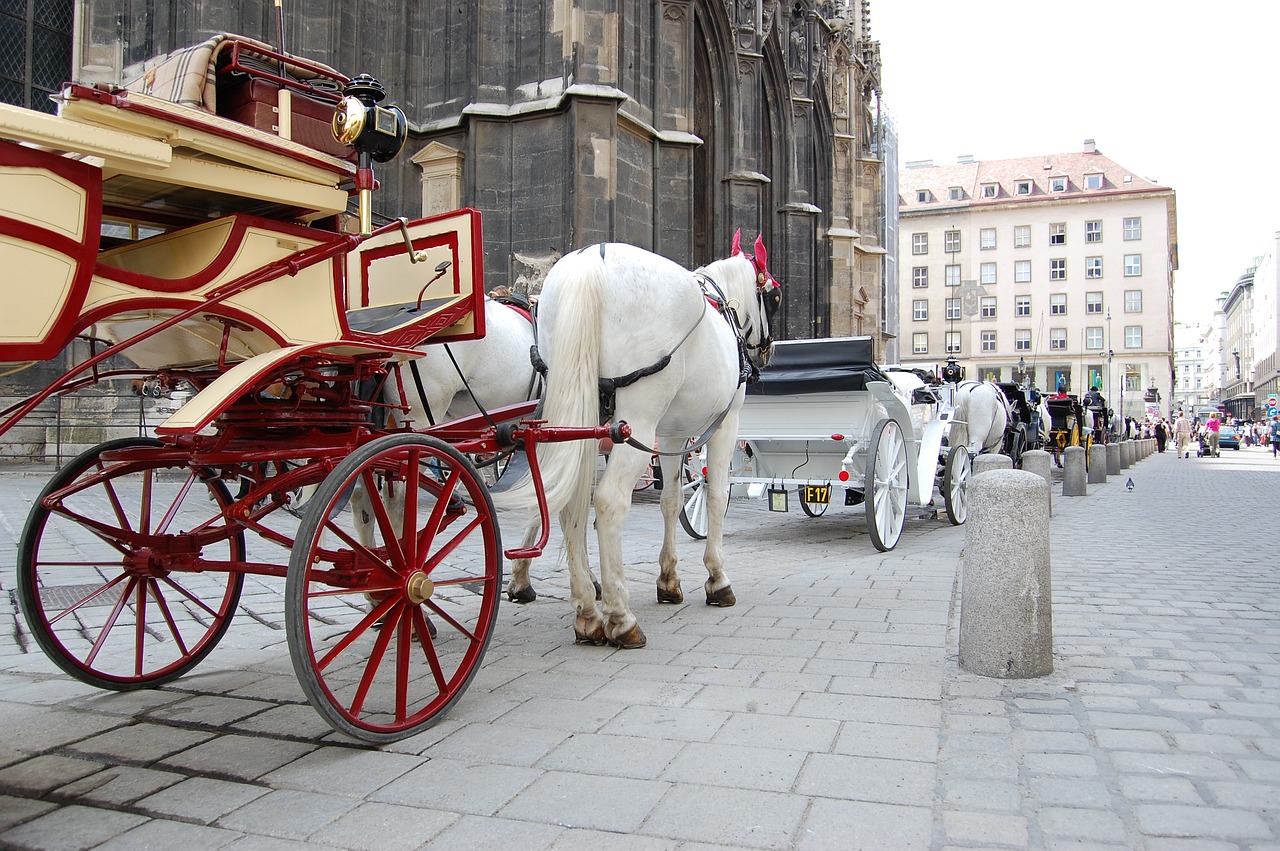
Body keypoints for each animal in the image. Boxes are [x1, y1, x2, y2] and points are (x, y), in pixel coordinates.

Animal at [494, 232, 778, 644]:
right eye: (774, 296)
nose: (768, 350)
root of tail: (590, 263)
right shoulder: (725, 425)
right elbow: (715, 496)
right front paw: (717, 578)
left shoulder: (673, 434)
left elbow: (672, 500)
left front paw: (669, 580)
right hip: (636, 423)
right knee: (608, 501)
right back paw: (619, 615)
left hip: (577, 418)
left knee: (565, 500)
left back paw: (586, 611)